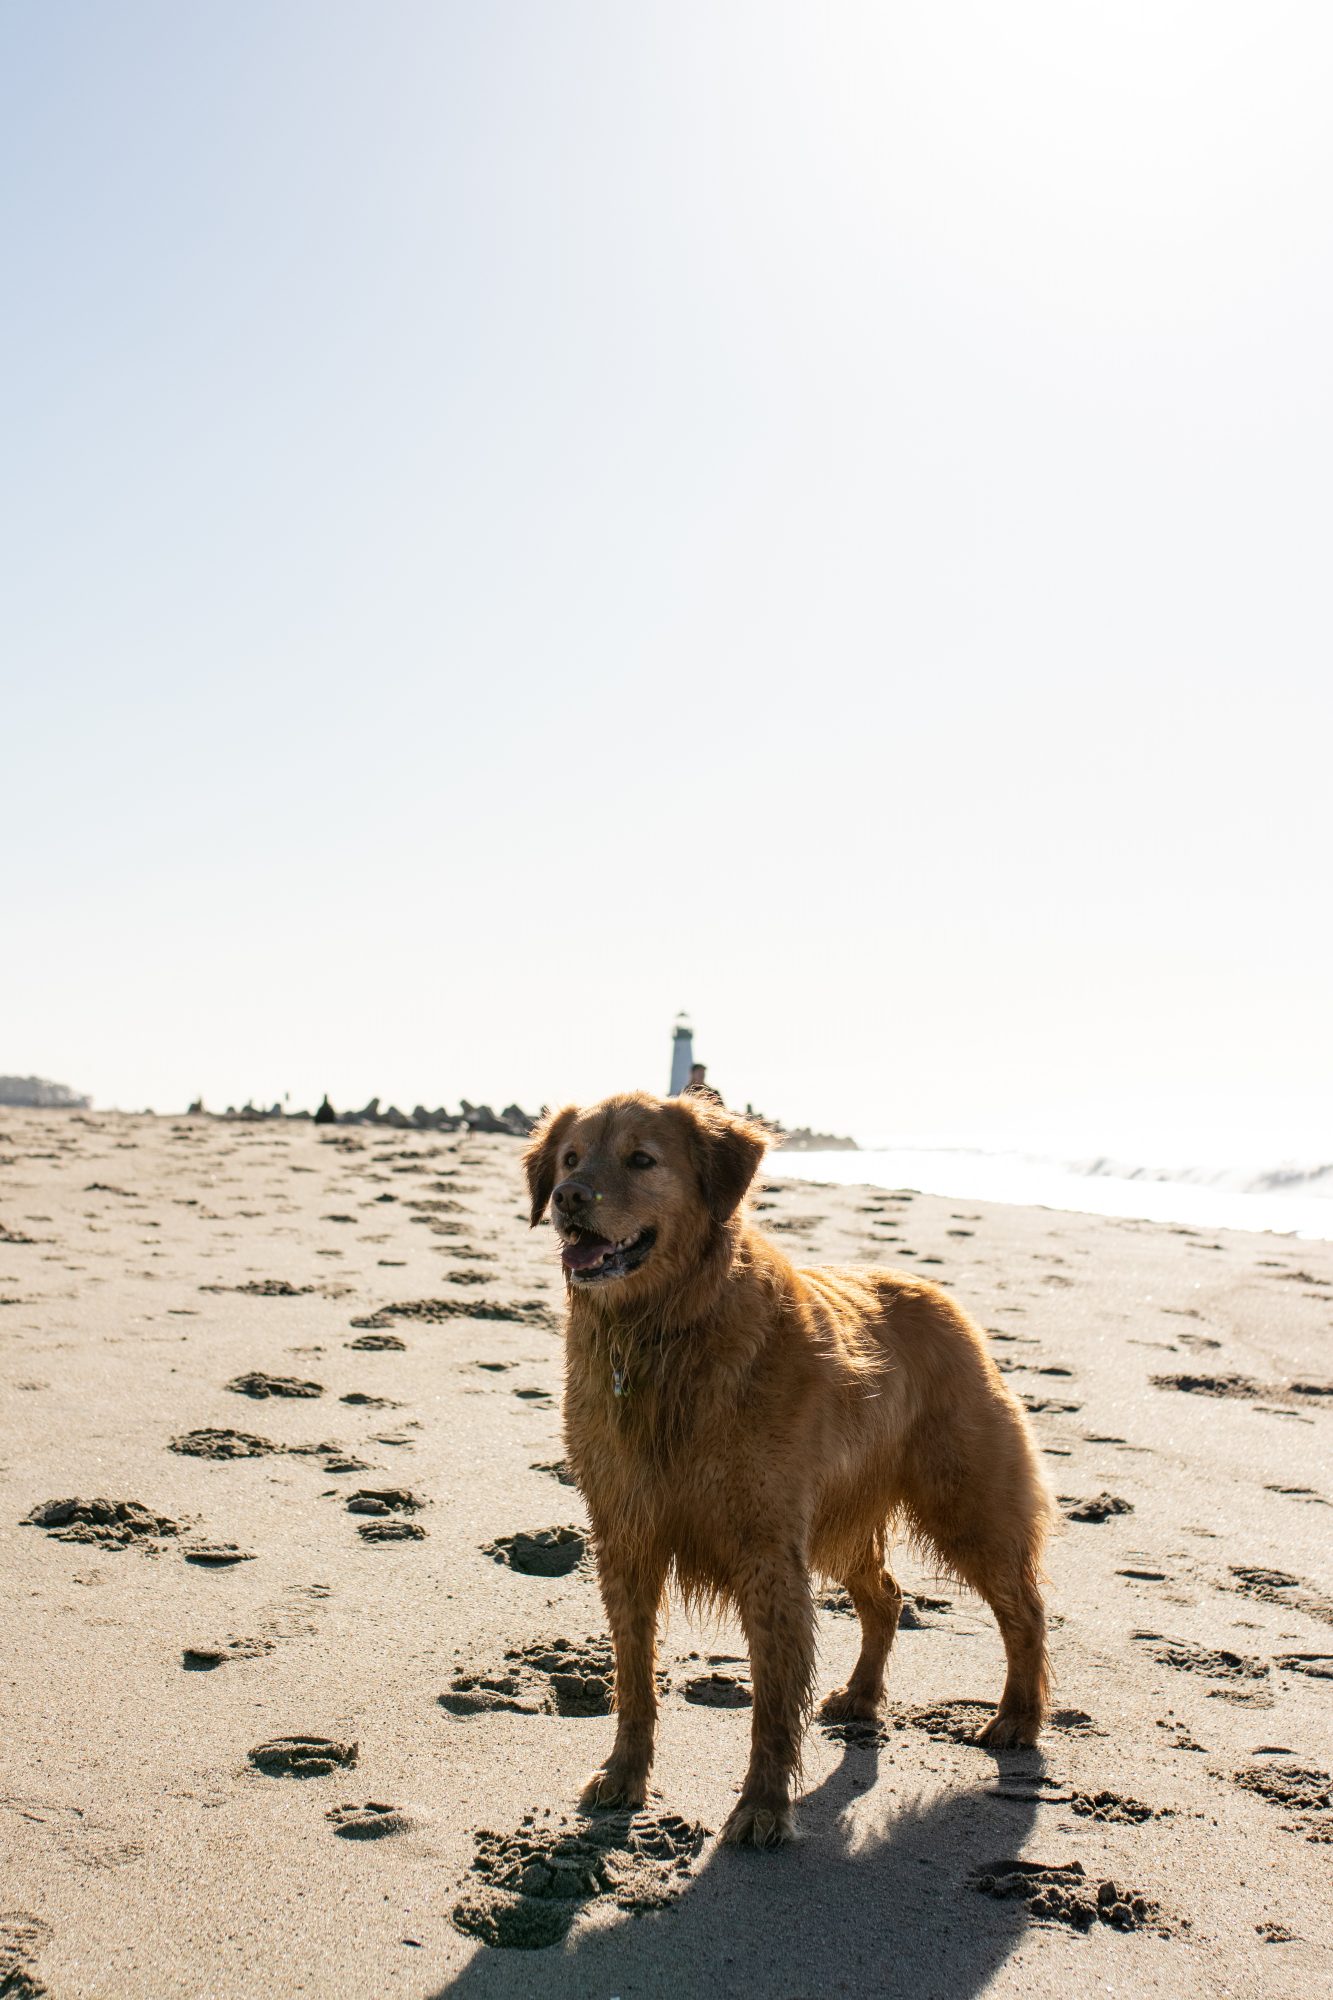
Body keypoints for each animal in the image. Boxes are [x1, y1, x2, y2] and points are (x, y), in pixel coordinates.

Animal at [520, 1096, 1048, 1840]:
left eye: (641, 1159)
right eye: (570, 1158)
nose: (568, 1197)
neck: (663, 1331)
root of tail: (940, 1297)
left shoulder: (765, 1546)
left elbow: (771, 1699)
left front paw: (763, 1807)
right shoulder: (626, 1536)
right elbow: (634, 1678)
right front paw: (625, 1774)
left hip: (968, 1505)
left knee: (1024, 1611)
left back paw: (1018, 1718)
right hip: (843, 1525)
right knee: (887, 1597)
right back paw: (861, 1695)